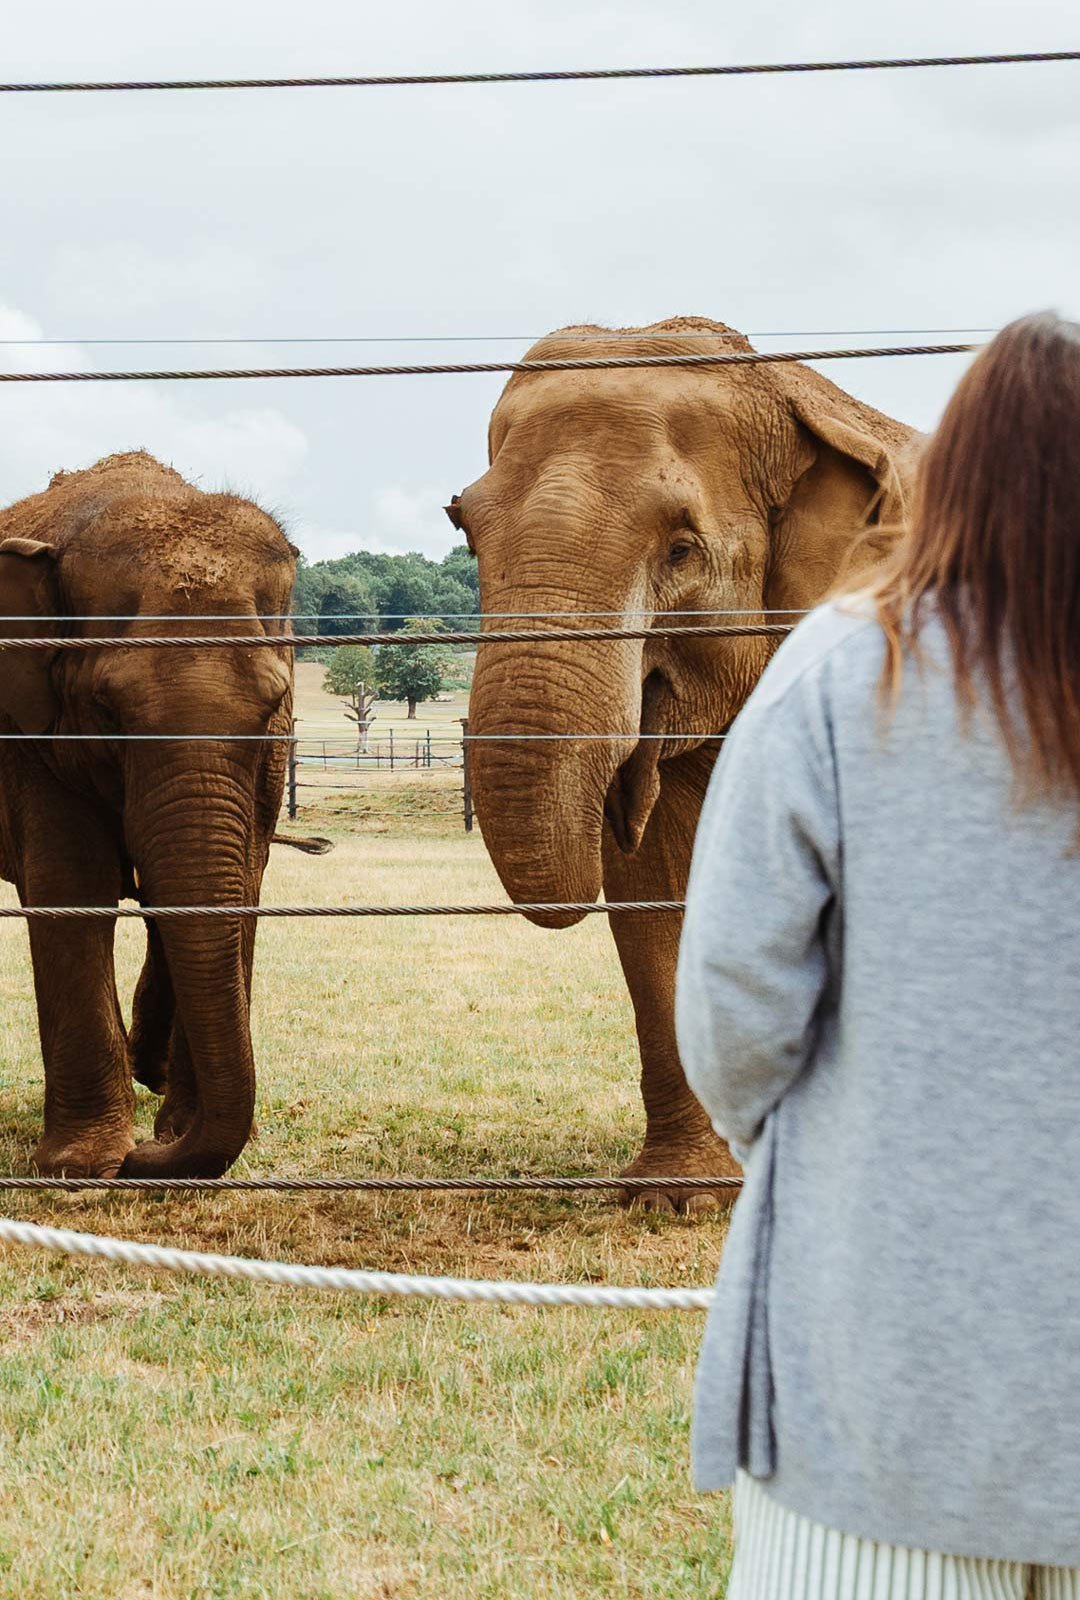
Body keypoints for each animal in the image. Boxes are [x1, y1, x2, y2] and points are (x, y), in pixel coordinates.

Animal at [0, 451, 300, 1178]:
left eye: (270, 703)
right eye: (108, 709)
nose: (146, 1155)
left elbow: (242, 882)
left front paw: (171, 1128)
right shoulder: (27, 725)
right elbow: (72, 883)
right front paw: (82, 1166)